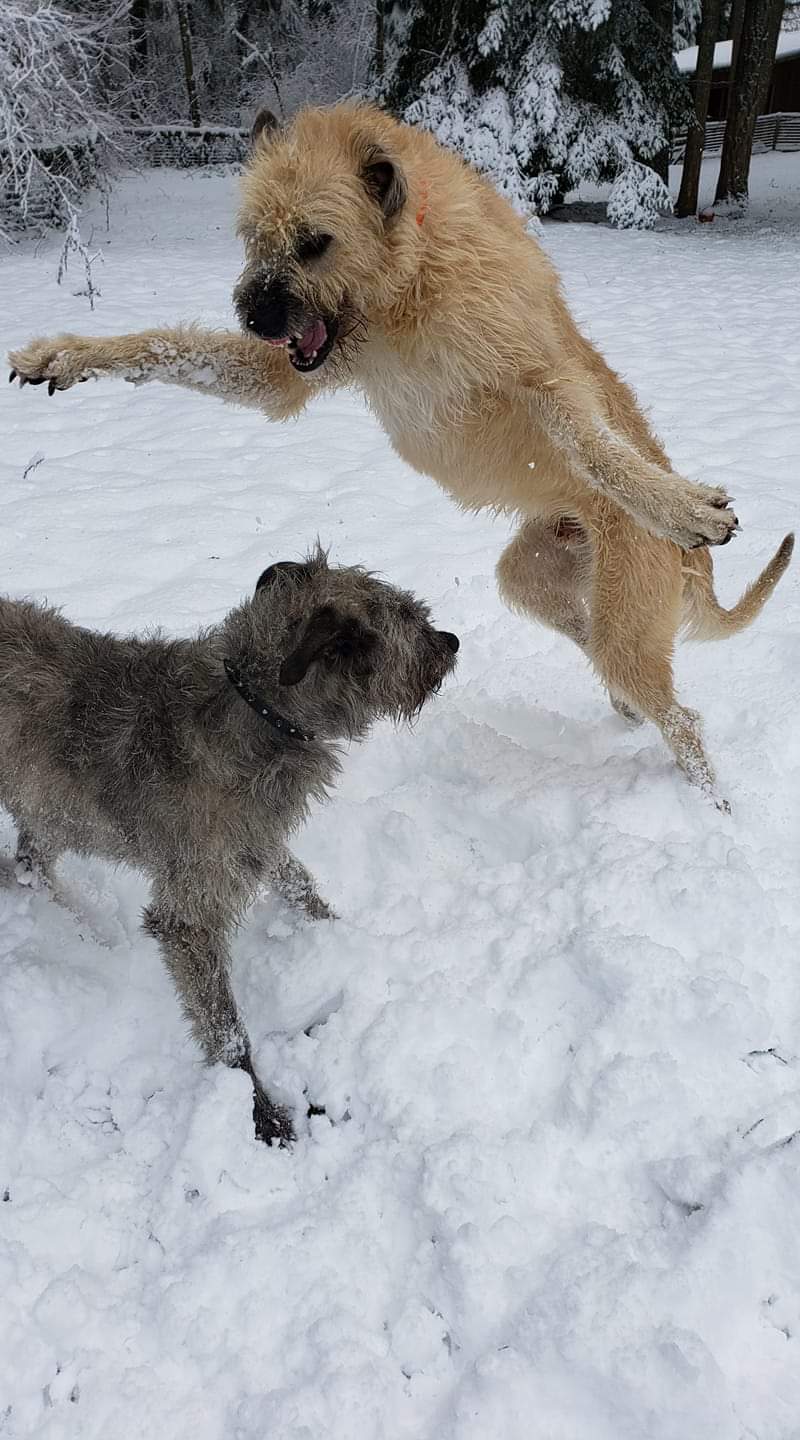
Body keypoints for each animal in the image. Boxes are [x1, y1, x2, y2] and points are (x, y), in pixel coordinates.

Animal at [0, 550, 460, 1146]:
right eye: (407, 615)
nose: (452, 641)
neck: (258, 706)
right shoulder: (192, 911)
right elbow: (227, 1031)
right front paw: (258, 1111)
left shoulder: (252, 843)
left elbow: (299, 884)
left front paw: (348, 939)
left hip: (51, 808)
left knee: (29, 864)